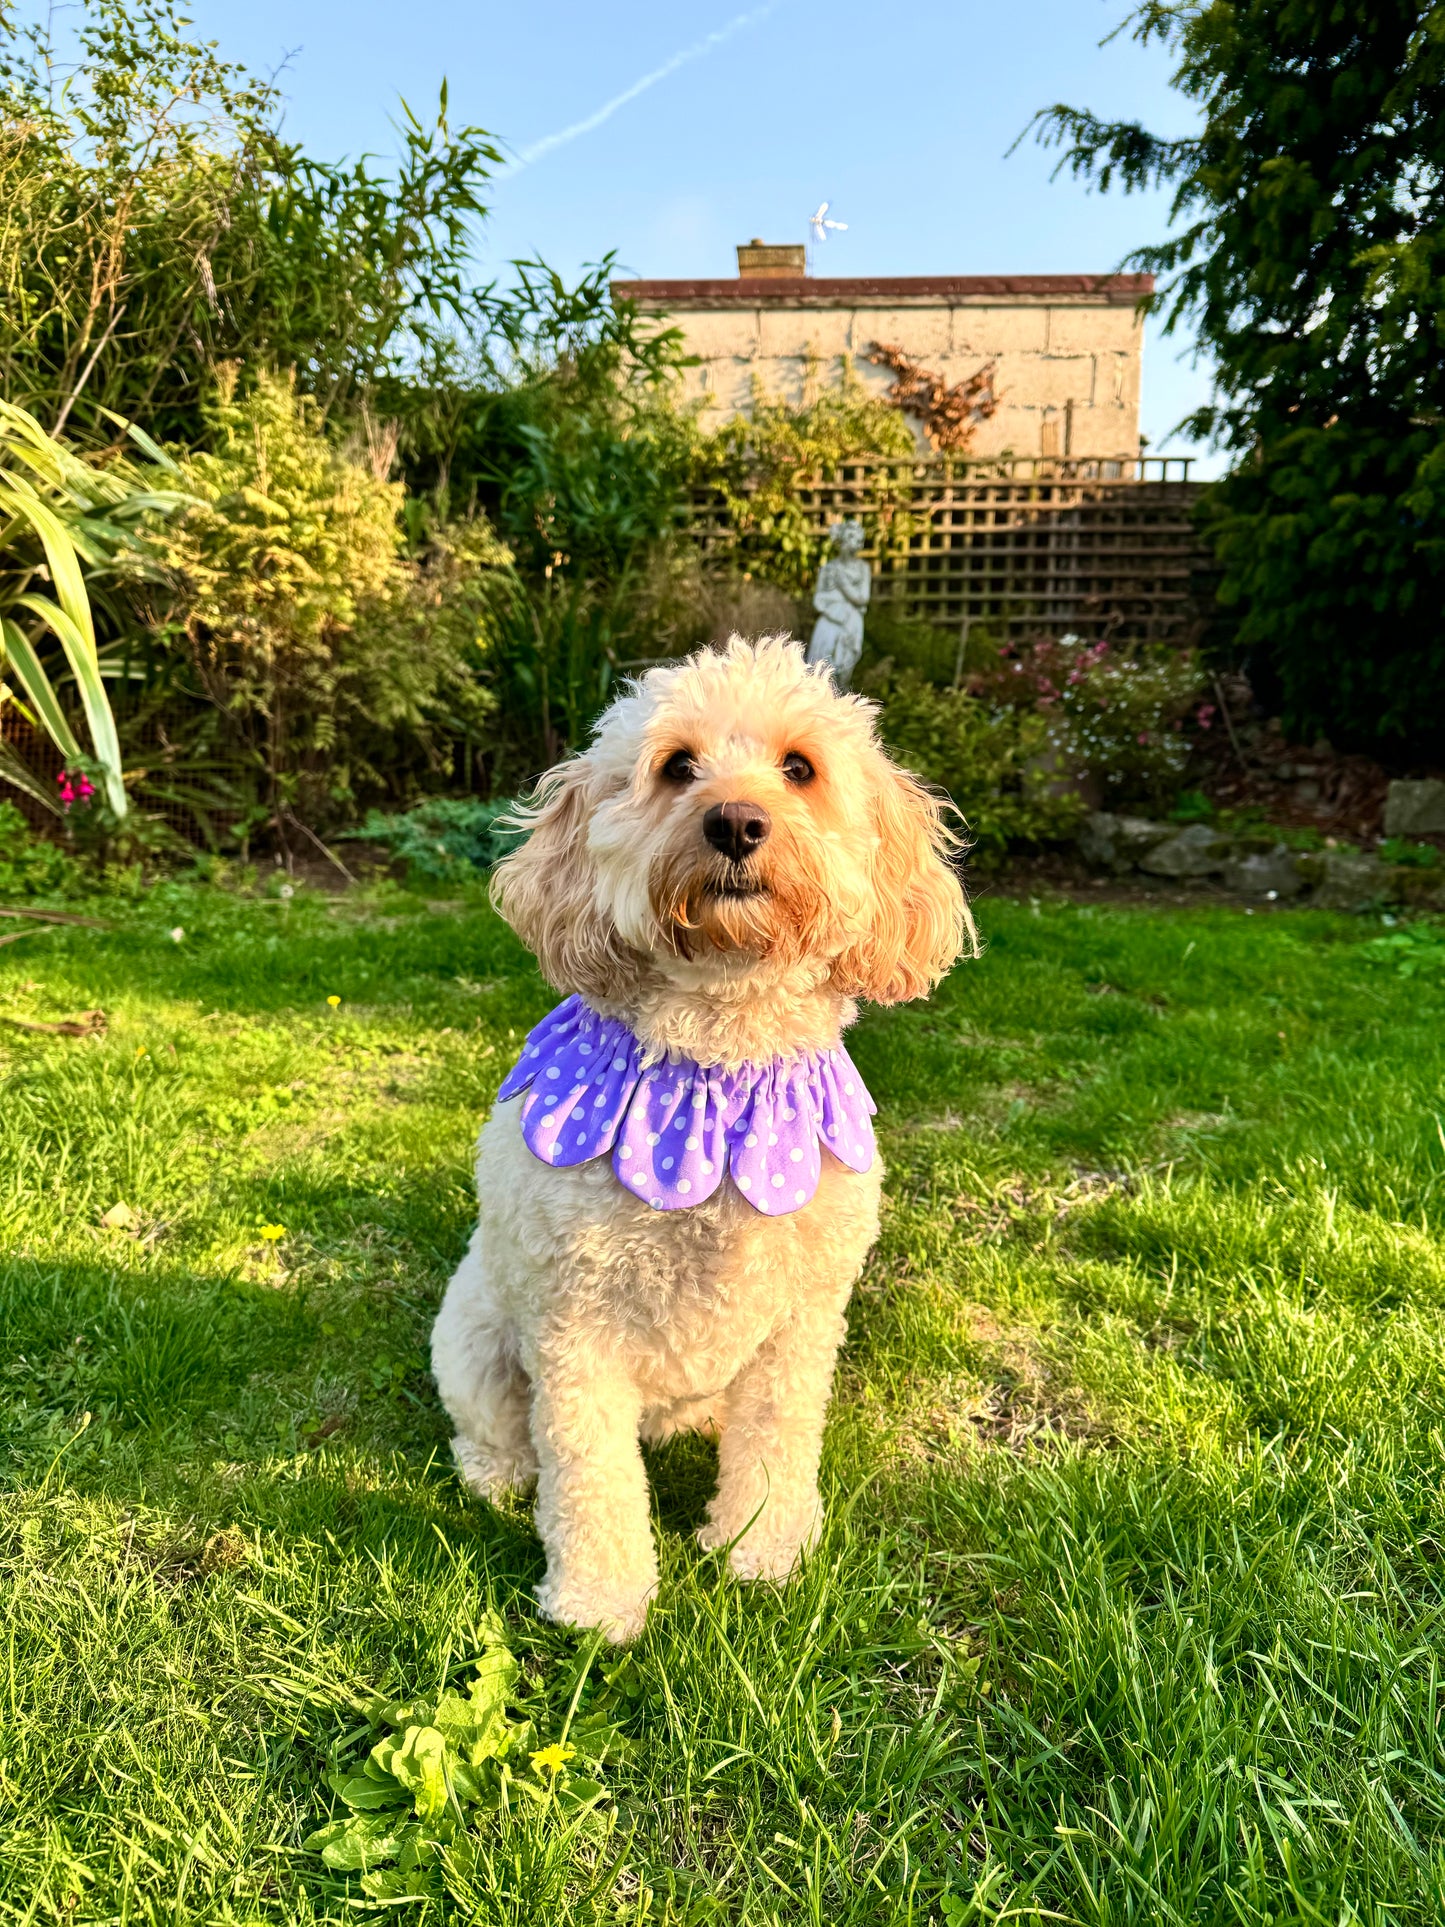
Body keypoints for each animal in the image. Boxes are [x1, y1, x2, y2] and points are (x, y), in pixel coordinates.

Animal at [429, 639, 974, 1634]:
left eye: (798, 768)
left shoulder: (801, 1324)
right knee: (495, 1429)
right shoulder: (574, 1328)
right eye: (677, 765)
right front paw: (599, 1601)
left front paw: (759, 1550)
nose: (736, 821)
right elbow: (589, 1475)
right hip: (477, 1334)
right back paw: (499, 1474)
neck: (719, 1065)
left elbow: (778, 1443)